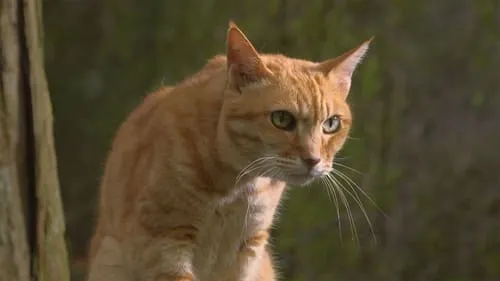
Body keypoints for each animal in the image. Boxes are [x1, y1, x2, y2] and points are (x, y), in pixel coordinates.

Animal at [87, 20, 372, 280]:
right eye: (281, 119)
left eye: (331, 124)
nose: (313, 159)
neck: (236, 185)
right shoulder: (164, 242)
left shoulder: (248, 248)